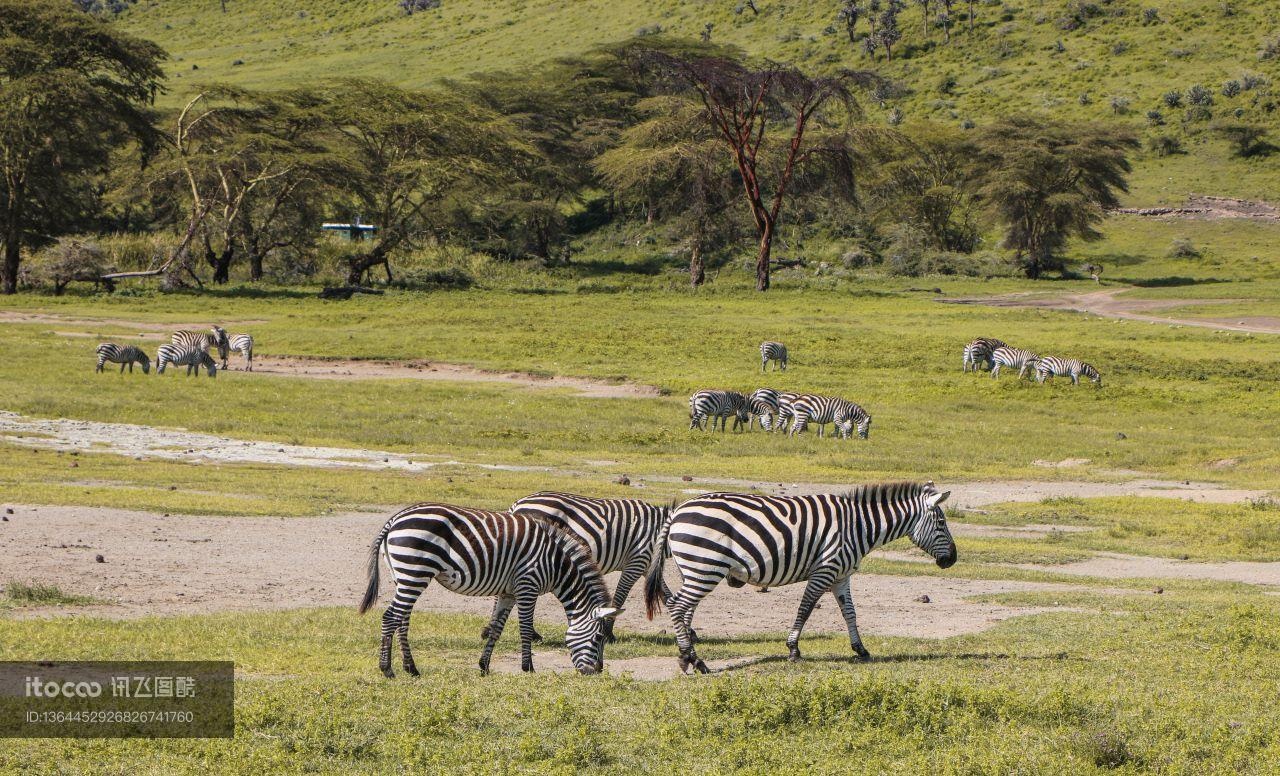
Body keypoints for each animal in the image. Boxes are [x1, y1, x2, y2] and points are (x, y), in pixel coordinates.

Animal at [358, 504, 622, 681]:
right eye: (598, 638)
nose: (595, 673)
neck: (555, 564)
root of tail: (395, 519)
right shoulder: (528, 586)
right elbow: (526, 629)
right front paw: (528, 669)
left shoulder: (508, 593)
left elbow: (496, 628)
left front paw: (484, 666)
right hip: (414, 572)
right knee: (390, 617)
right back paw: (387, 670)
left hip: (404, 576)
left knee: (402, 619)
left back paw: (411, 668)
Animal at [509, 491, 670, 645]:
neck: (659, 531)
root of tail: (518, 504)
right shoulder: (637, 560)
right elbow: (619, 598)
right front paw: (608, 633)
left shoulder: (647, 565)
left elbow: (667, 596)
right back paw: (533, 635)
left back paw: (533, 634)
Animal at [645, 486, 957, 676]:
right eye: (942, 524)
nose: (952, 560)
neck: (858, 527)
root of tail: (677, 512)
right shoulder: (825, 570)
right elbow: (805, 608)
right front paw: (793, 650)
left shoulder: (841, 576)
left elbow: (850, 613)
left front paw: (861, 650)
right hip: (705, 567)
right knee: (677, 606)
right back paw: (691, 658)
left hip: (694, 569)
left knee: (685, 609)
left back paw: (690, 657)